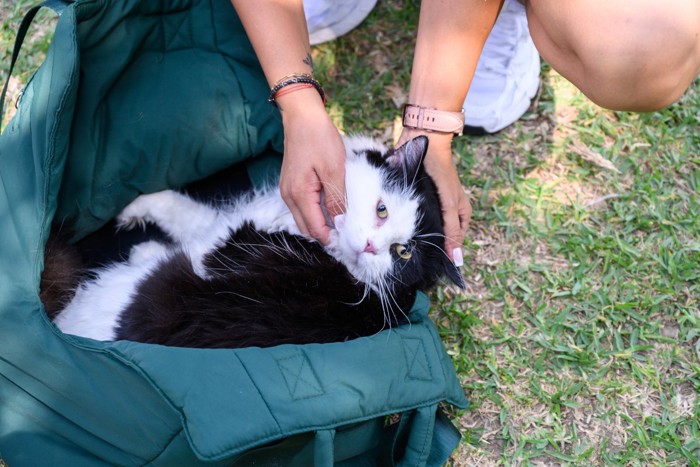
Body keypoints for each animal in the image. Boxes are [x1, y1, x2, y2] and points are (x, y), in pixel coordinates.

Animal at [50, 135, 464, 348]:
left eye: (403, 253)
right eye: (382, 210)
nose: (371, 248)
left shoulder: (216, 238)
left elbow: (182, 220)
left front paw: (138, 226)